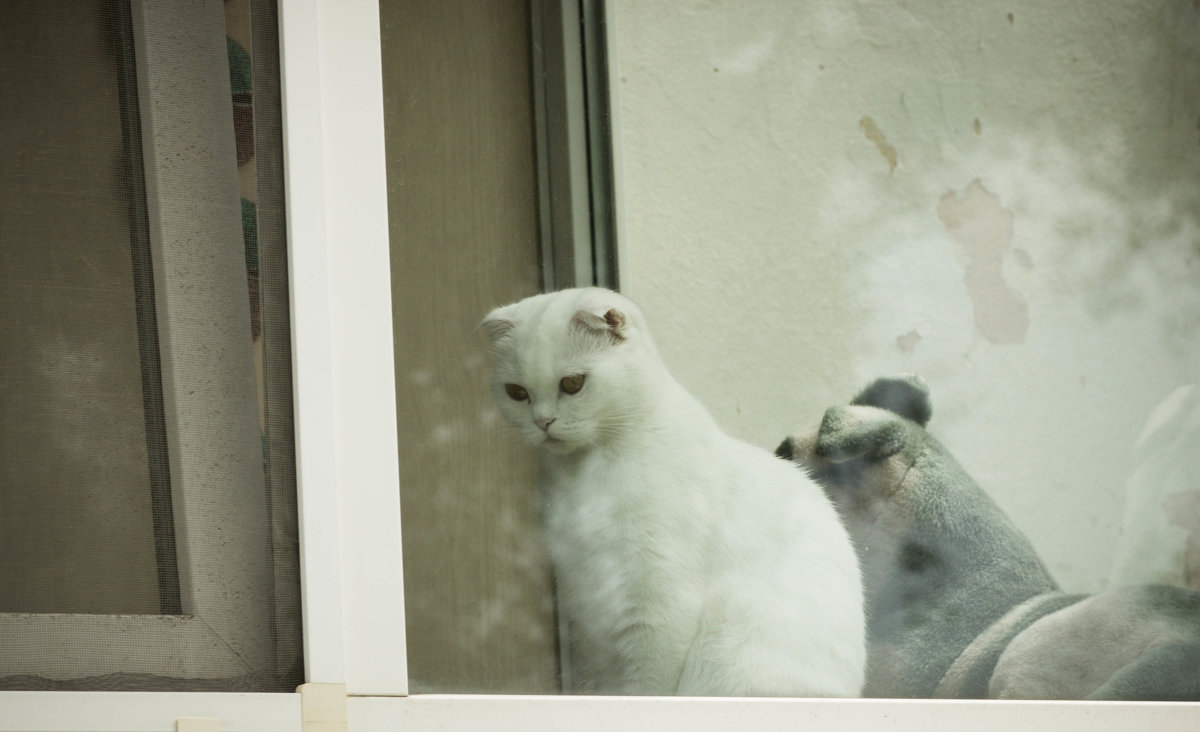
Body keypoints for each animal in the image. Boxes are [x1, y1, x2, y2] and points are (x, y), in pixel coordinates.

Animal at [482, 286, 868, 696]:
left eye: (572, 384)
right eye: (516, 392)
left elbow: (648, 686)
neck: (587, 470)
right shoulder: (587, 607)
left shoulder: (659, 598)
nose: (542, 422)